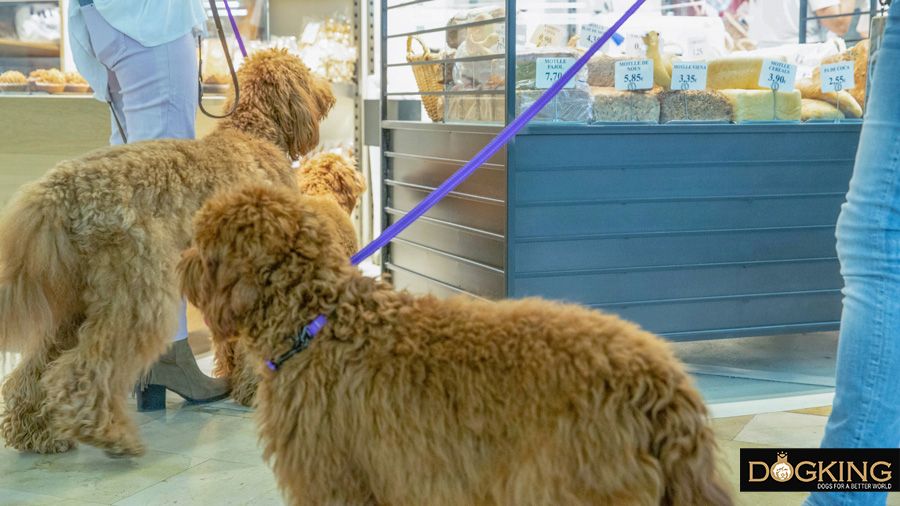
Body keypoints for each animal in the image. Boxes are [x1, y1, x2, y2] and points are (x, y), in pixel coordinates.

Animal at [0, 48, 334, 458]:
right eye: (306, 71)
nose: (330, 94)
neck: (252, 133)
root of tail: (58, 191)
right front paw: (258, 390)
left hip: (77, 302)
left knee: (33, 371)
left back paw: (36, 434)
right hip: (138, 296)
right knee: (80, 371)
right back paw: (110, 435)